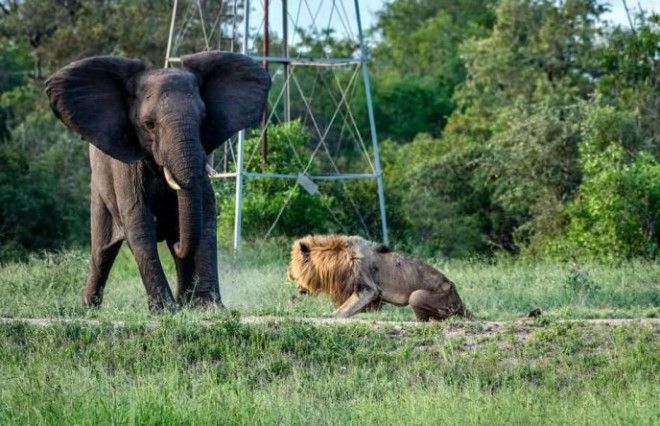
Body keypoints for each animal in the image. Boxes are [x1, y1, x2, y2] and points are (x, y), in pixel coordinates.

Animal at [45, 51, 270, 312]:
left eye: (203, 119)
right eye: (149, 125)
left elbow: (206, 218)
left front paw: (208, 307)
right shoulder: (126, 166)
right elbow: (139, 224)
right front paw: (165, 310)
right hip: (99, 189)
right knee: (102, 251)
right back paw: (89, 306)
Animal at [286, 235, 472, 322]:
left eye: (293, 265)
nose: (288, 275)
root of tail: (460, 300)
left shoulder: (368, 289)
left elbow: (344, 309)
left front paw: (330, 316)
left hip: (420, 296)